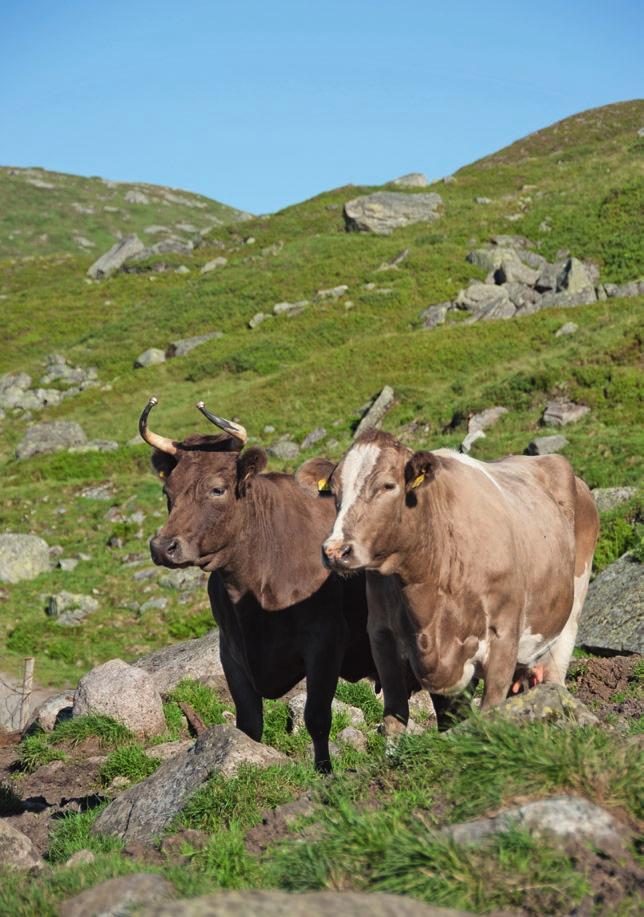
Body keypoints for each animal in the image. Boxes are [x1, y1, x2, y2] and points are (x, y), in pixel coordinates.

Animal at [138, 398, 374, 768]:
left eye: (217, 489)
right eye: (167, 491)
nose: (163, 546)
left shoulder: (326, 639)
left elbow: (317, 718)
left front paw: (325, 773)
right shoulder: (231, 652)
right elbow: (248, 725)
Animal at [322, 426, 600, 732]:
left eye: (387, 486)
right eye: (333, 491)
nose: (335, 550)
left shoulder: (504, 636)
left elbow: (491, 710)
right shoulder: (382, 635)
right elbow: (400, 719)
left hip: (570, 614)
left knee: (555, 675)